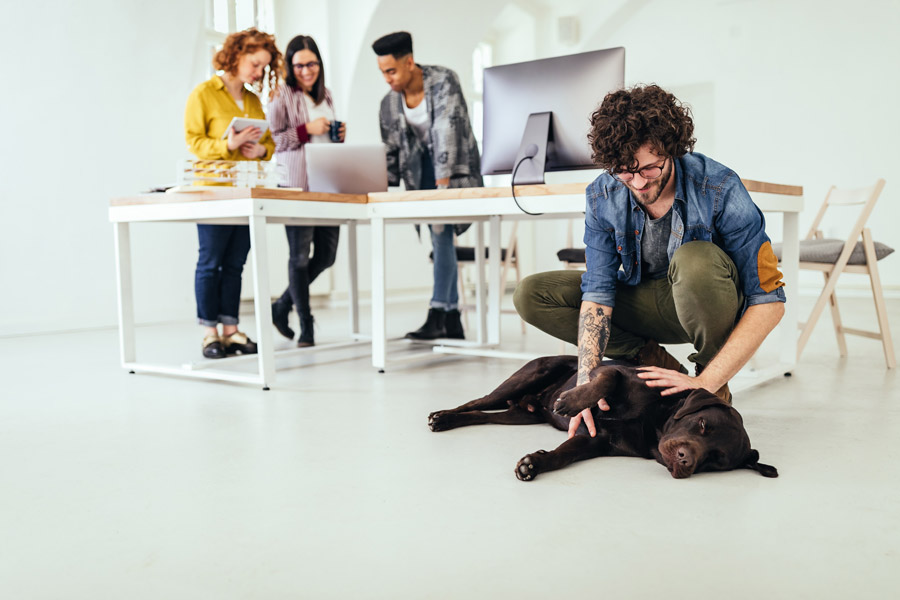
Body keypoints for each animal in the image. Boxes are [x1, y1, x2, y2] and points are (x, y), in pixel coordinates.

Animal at [428, 358, 772, 480]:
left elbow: (562, 455)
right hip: (524, 379)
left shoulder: (595, 442)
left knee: (481, 415)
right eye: (702, 424)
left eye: (715, 460)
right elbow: (605, 381)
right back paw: (442, 417)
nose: (686, 459)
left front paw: (534, 464)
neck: (654, 423)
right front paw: (571, 401)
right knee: (476, 402)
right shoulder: (613, 371)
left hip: (518, 416)